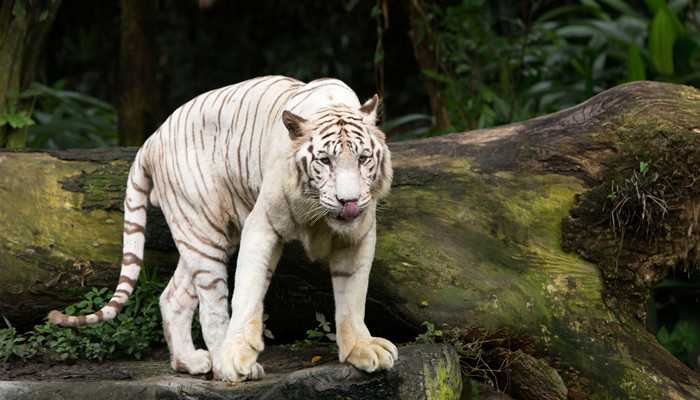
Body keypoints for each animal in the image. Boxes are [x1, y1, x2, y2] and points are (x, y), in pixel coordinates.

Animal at [47, 74, 400, 382]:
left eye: (364, 158)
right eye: (325, 161)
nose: (348, 201)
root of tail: (152, 139)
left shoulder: (359, 235)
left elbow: (352, 295)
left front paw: (361, 349)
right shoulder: (262, 226)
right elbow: (248, 293)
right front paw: (237, 356)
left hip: (204, 234)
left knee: (172, 297)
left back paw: (189, 362)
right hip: (204, 232)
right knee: (211, 308)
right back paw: (223, 364)